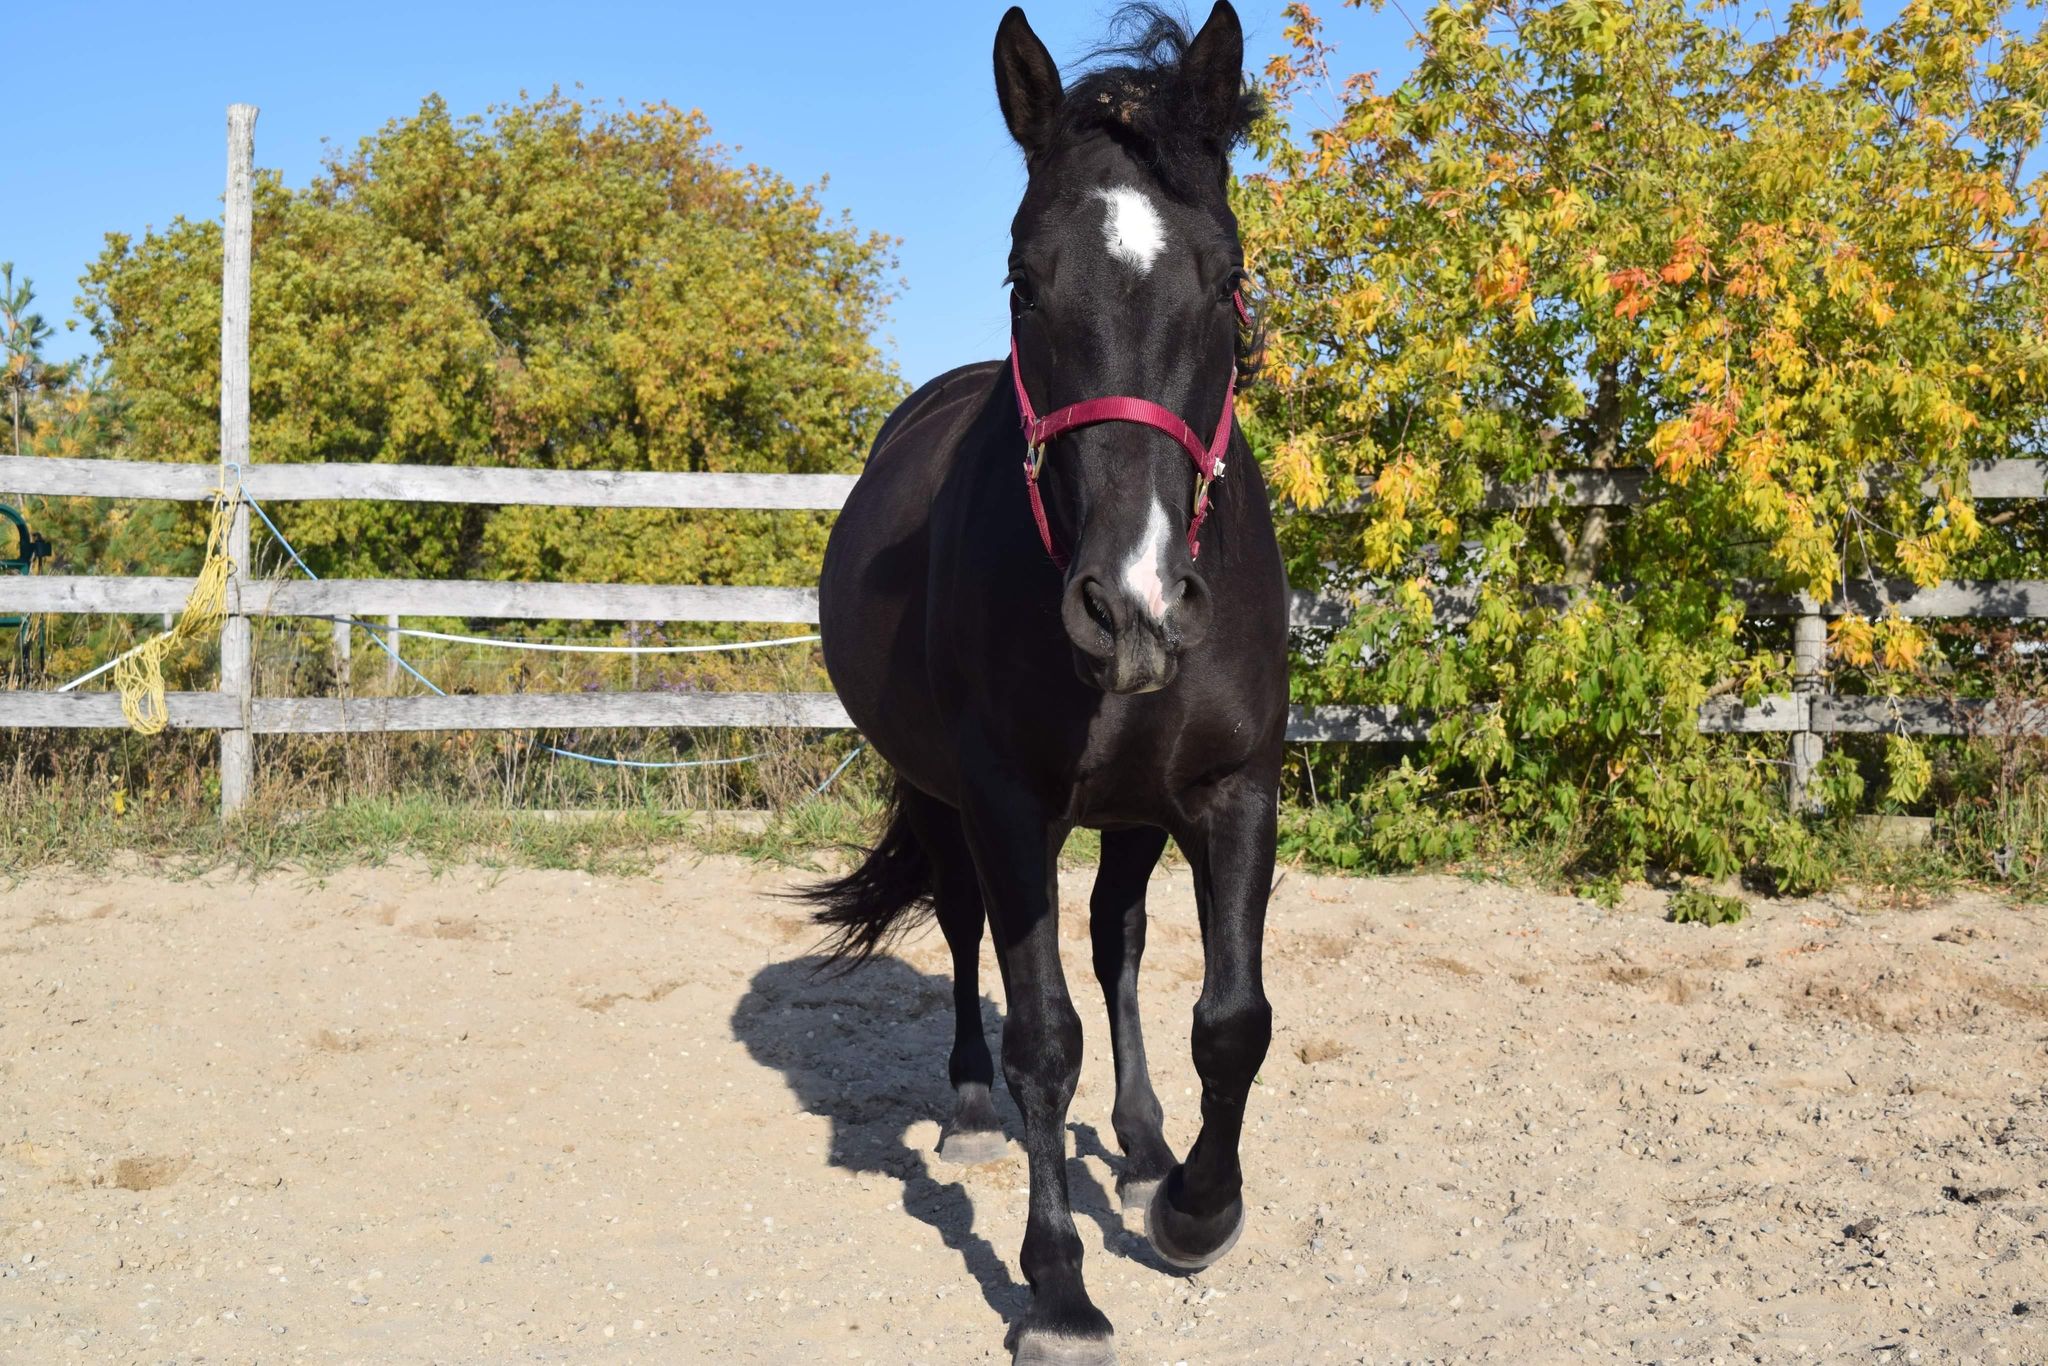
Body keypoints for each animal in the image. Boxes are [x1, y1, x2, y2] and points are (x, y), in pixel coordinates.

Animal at [804, 5, 1287, 1362]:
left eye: (1226, 277)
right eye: (1025, 279)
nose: (1129, 605)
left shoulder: (1234, 791)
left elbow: (1229, 1017)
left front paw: (1191, 1206)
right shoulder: (1007, 804)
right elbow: (1043, 1037)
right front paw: (1058, 1287)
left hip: (1130, 810)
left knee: (1118, 936)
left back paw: (1141, 1141)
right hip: (947, 798)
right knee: (968, 931)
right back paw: (970, 1106)